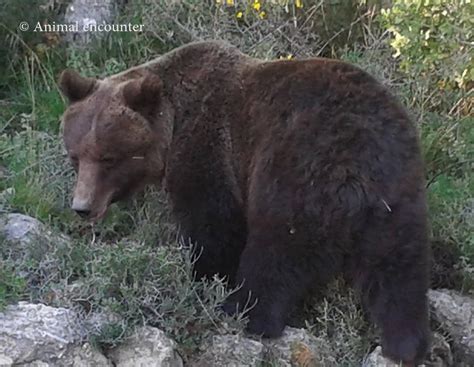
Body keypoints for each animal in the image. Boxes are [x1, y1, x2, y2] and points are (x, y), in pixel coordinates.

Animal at [58, 41, 430, 367]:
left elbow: (213, 228)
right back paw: (407, 344)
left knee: (275, 252)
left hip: (297, 171)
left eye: (108, 157)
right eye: (75, 155)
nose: (82, 207)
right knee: (399, 271)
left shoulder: (209, 151)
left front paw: (203, 279)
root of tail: (361, 162)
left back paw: (242, 312)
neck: (173, 124)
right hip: (399, 195)